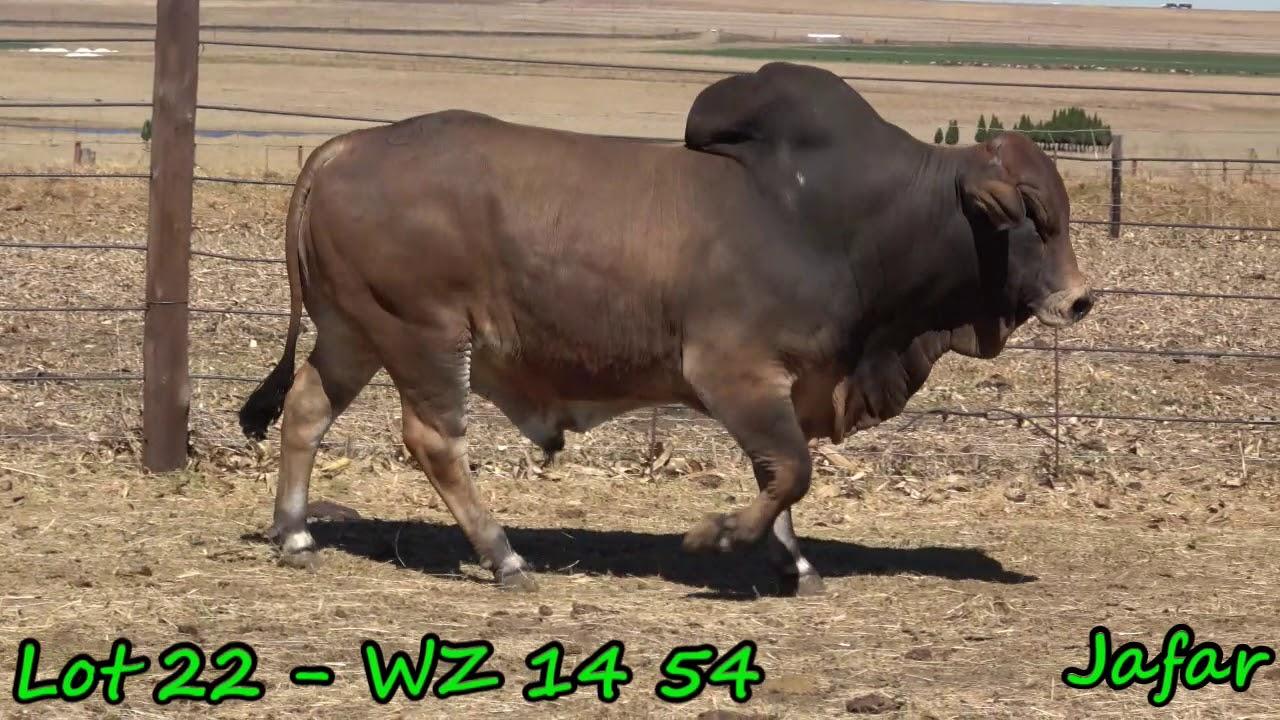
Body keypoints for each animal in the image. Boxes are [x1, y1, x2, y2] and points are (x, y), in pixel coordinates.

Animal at [239, 62, 1093, 595]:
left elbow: (778, 476)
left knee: (306, 410)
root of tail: (339, 149)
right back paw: (504, 557)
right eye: (1033, 211)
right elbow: (790, 472)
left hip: (353, 333)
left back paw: (296, 534)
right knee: (436, 442)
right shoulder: (736, 373)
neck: (843, 220)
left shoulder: (780, 388)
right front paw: (718, 536)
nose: (1081, 299)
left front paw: (791, 564)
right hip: (425, 337)